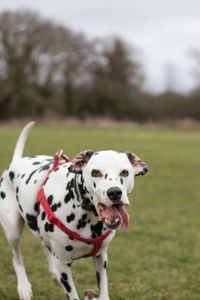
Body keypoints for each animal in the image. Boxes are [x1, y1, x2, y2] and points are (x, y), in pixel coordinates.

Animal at [0, 122, 147, 300]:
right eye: (95, 172)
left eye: (124, 172)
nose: (114, 192)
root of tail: (15, 162)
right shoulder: (63, 265)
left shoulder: (101, 258)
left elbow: (103, 291)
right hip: (13, 231)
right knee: (17, 257)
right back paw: (24, 287)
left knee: (44, 246)